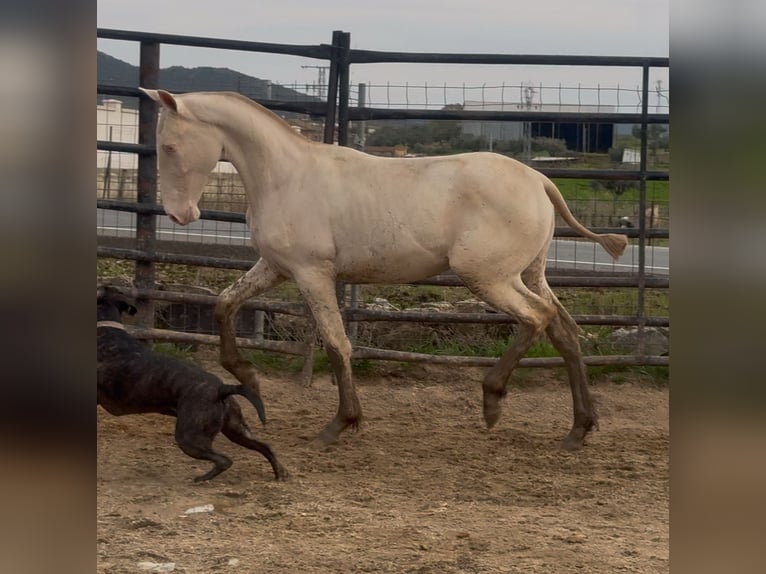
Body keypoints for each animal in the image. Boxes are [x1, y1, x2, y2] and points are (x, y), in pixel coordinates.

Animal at [96, 286, 288, 484]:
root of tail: (221, 389)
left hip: (188, 437)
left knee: (224, 460)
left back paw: (202, 478)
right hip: (237, 430)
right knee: (265, 446)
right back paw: (280, 473)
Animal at [140, 89, 632, 450]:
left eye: (169, 145)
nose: (181, 215)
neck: (285, 176)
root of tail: (541, 181)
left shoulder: (311, 274)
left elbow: (337, 342)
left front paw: (339, 424)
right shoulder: (275, 268)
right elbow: (224, 305)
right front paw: (246, 375)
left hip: (489, 278)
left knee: (536, 318)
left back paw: (493, 401)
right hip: (529, 274)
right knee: (564, 330)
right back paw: (578, 430)